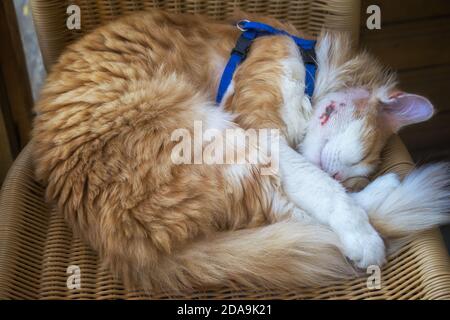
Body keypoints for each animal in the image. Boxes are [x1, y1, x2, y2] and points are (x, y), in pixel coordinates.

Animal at [32, 10, 450, 292]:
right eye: (357, 163)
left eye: (353, 173)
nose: (340, 175)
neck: (311, 65)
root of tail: (129, 251)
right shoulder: (262, 128)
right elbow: (322, 187)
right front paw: (360, 233)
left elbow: (320, 185)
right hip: (217, 136)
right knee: (297, 215)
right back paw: (377, 216)